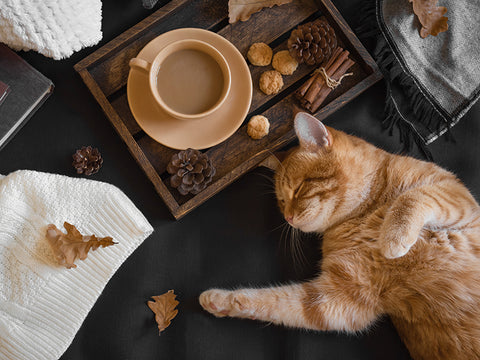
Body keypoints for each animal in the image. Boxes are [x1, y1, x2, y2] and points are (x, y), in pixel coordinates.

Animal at [199, 112, 480, 360]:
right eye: (281, 201)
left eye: (298, 189)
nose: (288, 217)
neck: (366, 213)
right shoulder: (339, 298)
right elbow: (272, 300)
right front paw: (222, 300)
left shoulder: (460, 199)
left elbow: (411, 198)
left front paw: (393, 237)